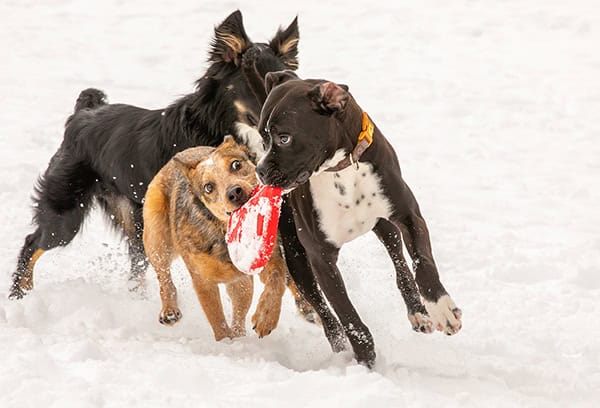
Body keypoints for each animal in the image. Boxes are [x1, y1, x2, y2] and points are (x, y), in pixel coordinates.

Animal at [9, 10, 300, 300]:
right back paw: (19, 294)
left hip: (135, 217)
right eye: (253, 84)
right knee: (32, 243)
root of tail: (83, 113)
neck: (219, 127)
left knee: (137, 263)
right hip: (66, 213)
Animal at [143, 137, 288, 342]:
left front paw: (266, 317)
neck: (224, 235)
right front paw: (225, 343)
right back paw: (169, 310)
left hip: (240, 282)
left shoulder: (264, 257)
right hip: (157, 237)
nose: (234, 192)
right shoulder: (202, 279)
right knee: (163, 275)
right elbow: (216, 317)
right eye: (208, 187)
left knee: (240, 308)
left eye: (236, 164)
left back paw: (239, 335)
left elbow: (277, 278)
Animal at [255, 71, 462, 368]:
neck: (342, 169)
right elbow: (348, 317)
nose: (259, 171)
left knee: (400, 266)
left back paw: (418, 312)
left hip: (385, 227)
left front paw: (441, 308)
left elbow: (423, 264)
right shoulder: (320, 257)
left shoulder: (408, 216)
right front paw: (366, 362)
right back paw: (339, 348)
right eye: (262, 137)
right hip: (297, 258)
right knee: (324, 313)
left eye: (284, 138)